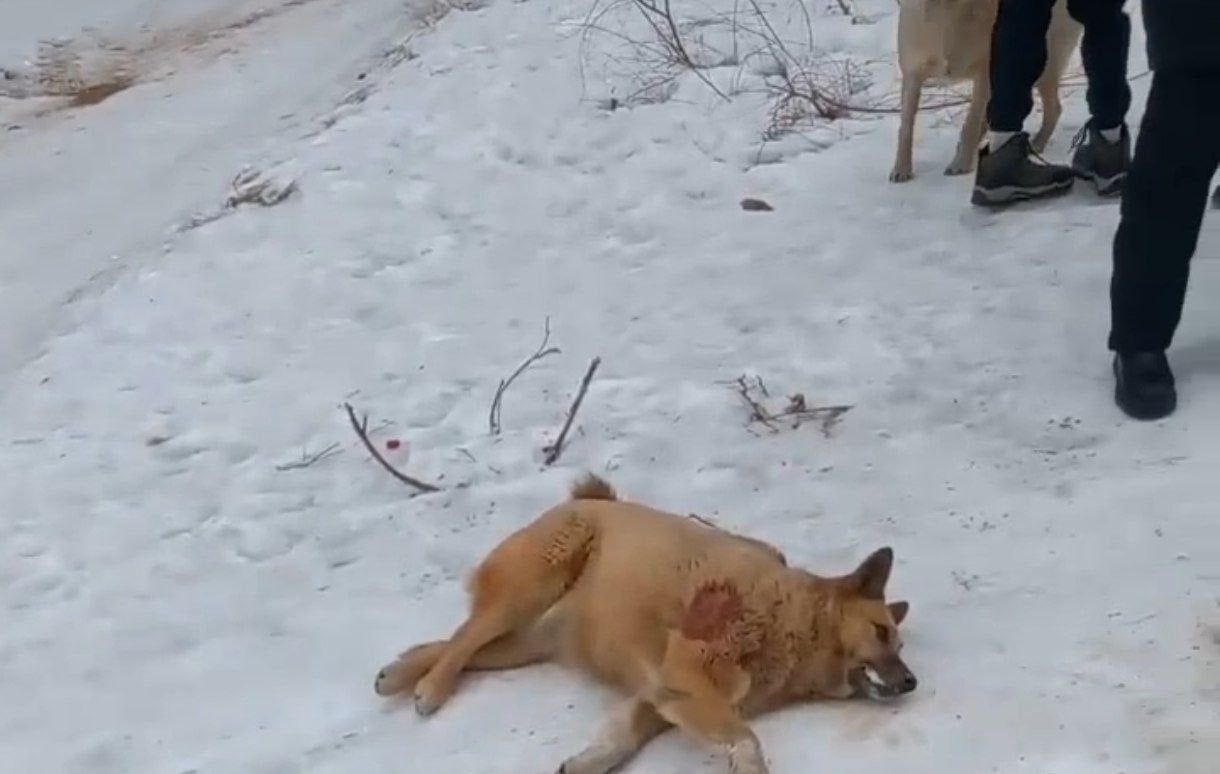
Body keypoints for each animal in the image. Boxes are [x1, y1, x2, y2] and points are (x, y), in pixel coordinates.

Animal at [370, 476, 917, 771]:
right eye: (881, 633)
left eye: (900, 644)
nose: (912, 681)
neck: (796, 623)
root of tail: (593, 499)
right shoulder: (691, 679)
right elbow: (745, 737)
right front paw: (749, 764)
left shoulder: (664, 696)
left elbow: (622, 737)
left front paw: (585, 763)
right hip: (532, 586)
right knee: (467, 637)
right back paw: (429, 687)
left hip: (533, 641)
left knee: (464, 644)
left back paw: (401, 670)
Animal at [893, 0, 1083, 180]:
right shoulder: (911, 75)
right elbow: (906, 128)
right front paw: (901, 169)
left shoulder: (984, 73)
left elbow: (971, 123)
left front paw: (961, 164)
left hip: (1042, 63)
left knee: (1054, 109)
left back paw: (1037, 143)